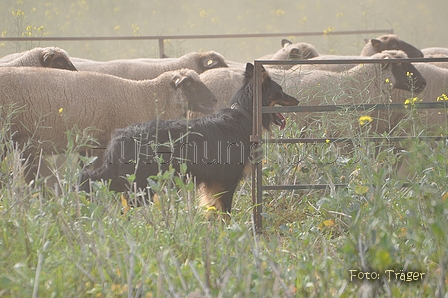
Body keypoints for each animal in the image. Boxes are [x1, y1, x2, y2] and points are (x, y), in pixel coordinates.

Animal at [79, 63, 300, 214]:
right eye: (280, 91)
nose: (298, 101)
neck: (243, 114)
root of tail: (119, 137)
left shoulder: (214, 183)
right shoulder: (227, 179)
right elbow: (225, 211)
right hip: (139, 185)